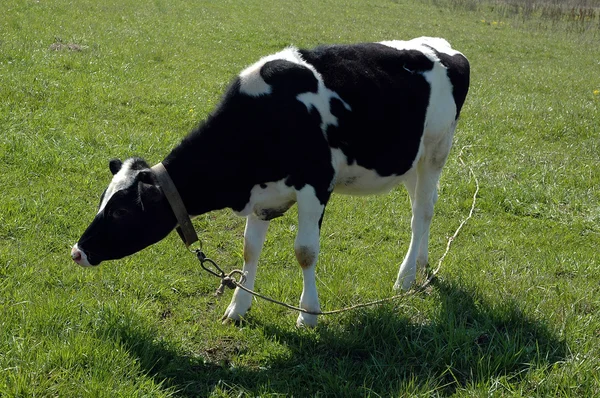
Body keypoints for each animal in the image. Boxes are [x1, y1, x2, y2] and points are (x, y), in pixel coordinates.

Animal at [70, 38, 468, 326]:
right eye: (102, 200)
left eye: (121, 212)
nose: (77, 252)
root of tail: (444, 47)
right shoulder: (259, 197)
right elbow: (250, 249)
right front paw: (238, 307)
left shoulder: (315, 186)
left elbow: (305, 252)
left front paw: (308, 314)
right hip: (411, 162)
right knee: (422, 208)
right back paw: (421, 266)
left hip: (436, 151)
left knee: (422, 214)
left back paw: (404, 278)